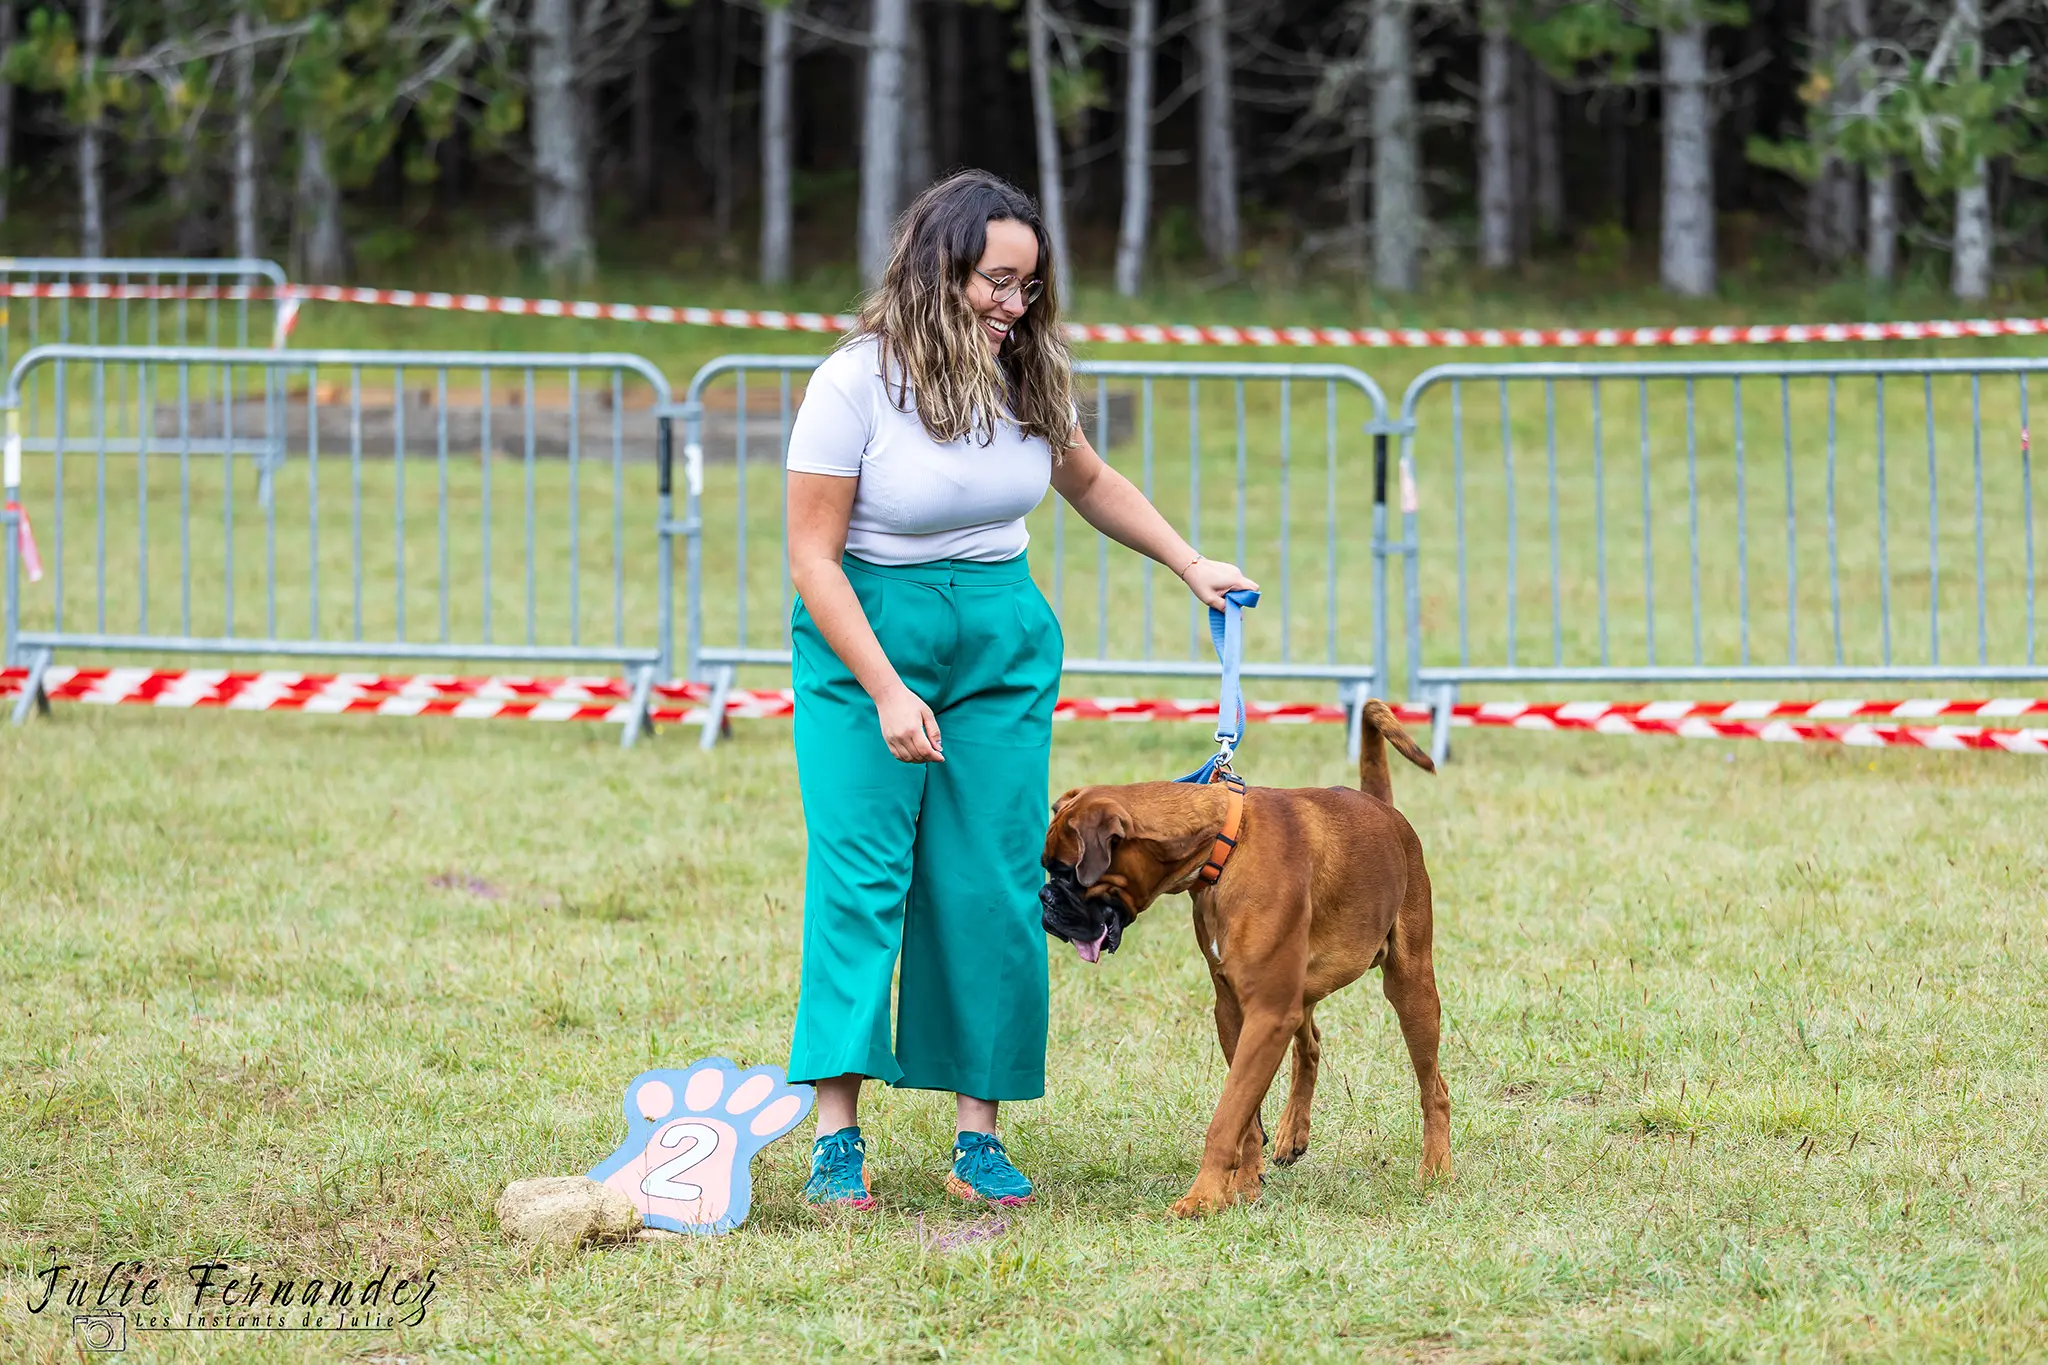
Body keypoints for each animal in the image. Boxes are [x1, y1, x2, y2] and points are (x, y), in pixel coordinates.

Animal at [1040, 703, 1458, 1219]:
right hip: (1303, 990)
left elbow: (1228, 1116)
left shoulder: (1267, 1013)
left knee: (1433, 1088)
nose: (1045, 900)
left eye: (1066, 873)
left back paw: (1436, 1168)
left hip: (1410, 987)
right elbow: (1246, 1116)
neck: (1224, 844)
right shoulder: (1235, 1009)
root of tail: (1383, 810)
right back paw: (1292, 1131)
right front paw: (1241, 1188)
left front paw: (1202, 1197)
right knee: (1310, 1044)